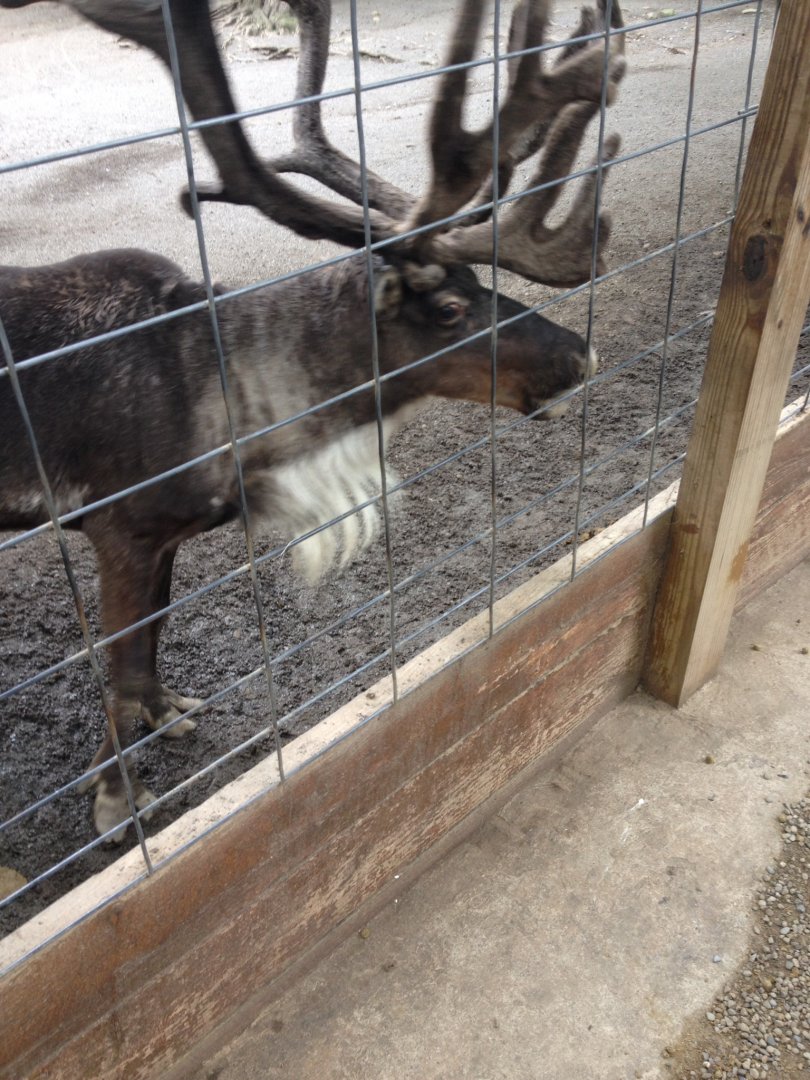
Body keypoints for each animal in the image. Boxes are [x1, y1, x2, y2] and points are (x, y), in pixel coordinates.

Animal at [0, 0, 626, 841]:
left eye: (479, 281)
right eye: (449, 308)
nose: (580, 352)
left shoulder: (168, 532)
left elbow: (156, 633)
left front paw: (169, 713)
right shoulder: (117, 523)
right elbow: (123, 662)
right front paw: (113, 798)